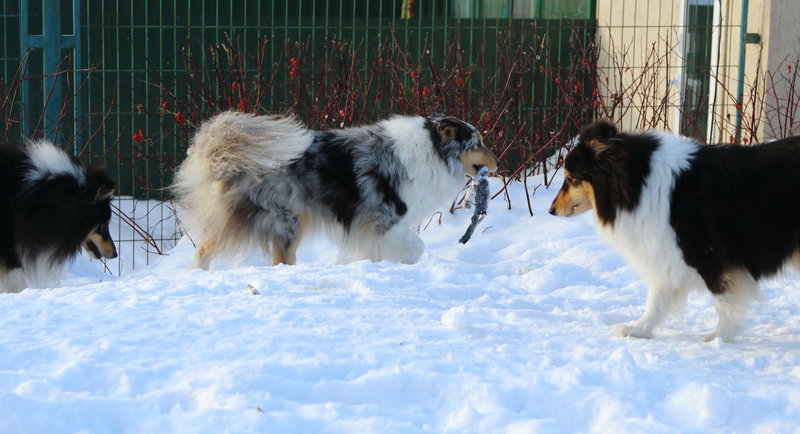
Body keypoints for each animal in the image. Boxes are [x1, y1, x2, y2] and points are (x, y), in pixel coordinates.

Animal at [174, 112, 496, 268]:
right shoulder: (384, 218)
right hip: (287, 218)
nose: (499, 162)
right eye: (478, 143)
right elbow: (416, 246)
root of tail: (226, 154)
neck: (433, 149)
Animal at [552, 120, 800, 340]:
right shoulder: (668, 252)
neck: (639, 183)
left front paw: (719, 338)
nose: (551, 210)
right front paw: (638, 330)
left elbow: (723, 302)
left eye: (570, 179)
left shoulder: (707, 254)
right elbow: (657, 299)